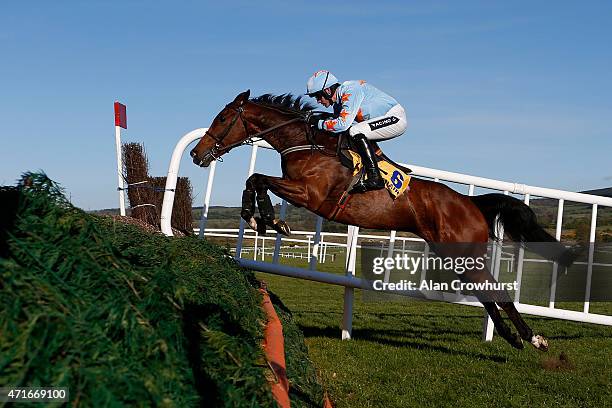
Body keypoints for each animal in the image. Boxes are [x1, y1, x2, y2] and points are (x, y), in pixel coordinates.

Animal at [192, 89, 580, 350]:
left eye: (222, 119)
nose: (197, 154)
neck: (307, 144)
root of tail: (468, 202)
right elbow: (254, 179)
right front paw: (258, 217)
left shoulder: (312, 195)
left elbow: (258, 178)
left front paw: (268, 219)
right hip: (453, 255)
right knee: (487, 293)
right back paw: (513, 337)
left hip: (462, 251)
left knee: (495, 290)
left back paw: (532, 338)